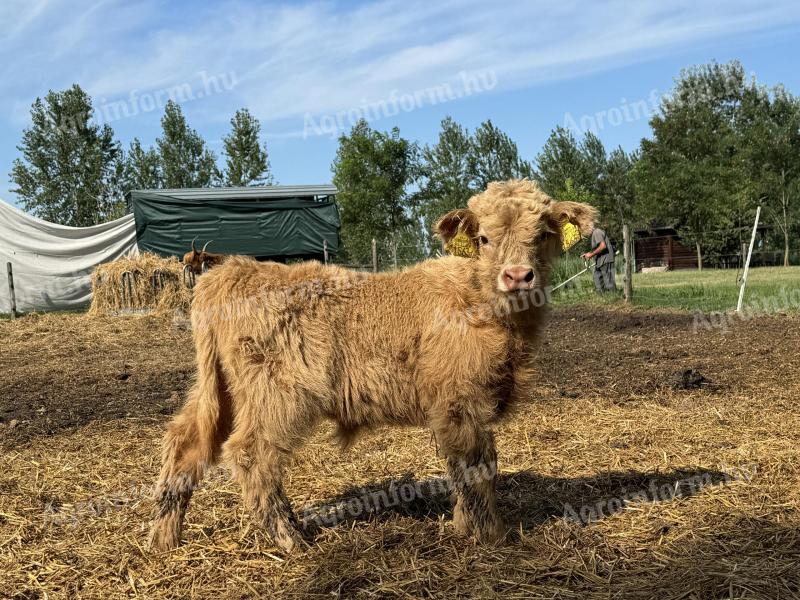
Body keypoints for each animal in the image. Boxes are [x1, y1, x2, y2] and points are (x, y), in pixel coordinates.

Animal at [148, 179, 592, 552]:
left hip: (219, 390)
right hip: (275, 394)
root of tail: (233, 270)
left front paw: (464, 525)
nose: (518, 275)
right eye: (483, 238)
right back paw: (291, 539)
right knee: (251, 454)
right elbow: (477, 465)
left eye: (543, 235)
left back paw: (164, 537)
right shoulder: (460, 401)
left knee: (186, 442)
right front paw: (491, 535)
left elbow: (460, 465)